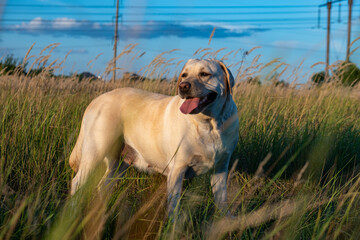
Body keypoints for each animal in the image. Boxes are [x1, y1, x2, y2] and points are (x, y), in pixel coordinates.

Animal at [69, 58, 239, 216]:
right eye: (184, 75)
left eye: (204, 74)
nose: (183, 86)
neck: (210, 125)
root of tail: (96, 100)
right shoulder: (177, 169)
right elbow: (174, 208)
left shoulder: (221, 169)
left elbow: (222, 201)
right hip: (95, 152)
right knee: (77, 182)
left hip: (119, 163)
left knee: (103, 185)